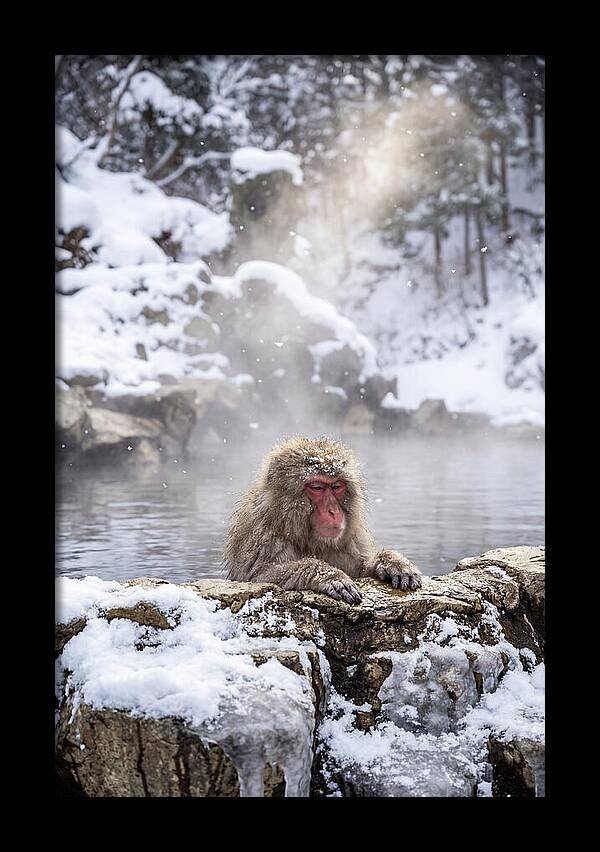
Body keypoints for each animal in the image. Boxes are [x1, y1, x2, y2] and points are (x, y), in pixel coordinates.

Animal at [224, 436, 422, 605]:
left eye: (337, 486)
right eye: (317, 487)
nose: (333, 511)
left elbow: (360, 570)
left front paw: (391, 562)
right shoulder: (261, 535)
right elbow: (259, 577)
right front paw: (328, 575)